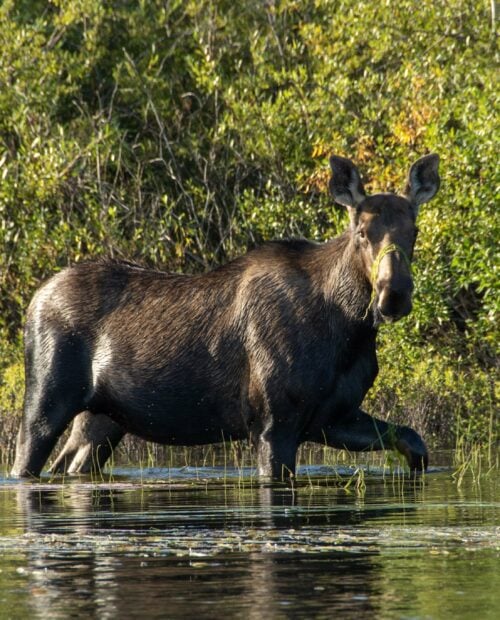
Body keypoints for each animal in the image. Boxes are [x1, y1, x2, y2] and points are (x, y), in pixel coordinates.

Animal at [11, 154, 440, 480]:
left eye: (415, 231)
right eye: (363, 233)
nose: (393, 294)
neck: (350, 332)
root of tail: (34, 299)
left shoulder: (334, 416)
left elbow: (414, 442)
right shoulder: (271, 424)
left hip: (103, 418)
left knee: (70, 465)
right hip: (46, 397)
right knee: (25, 461)